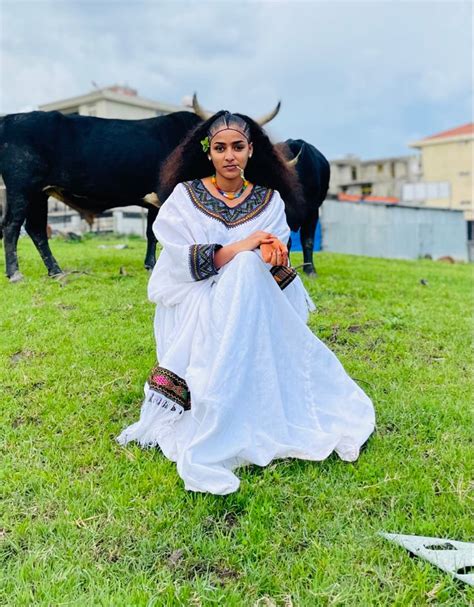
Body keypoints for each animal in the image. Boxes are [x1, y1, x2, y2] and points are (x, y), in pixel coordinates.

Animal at [0, 110, 200, 282]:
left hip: (39, 194)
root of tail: (10, 118)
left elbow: (152, 233)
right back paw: (15, 274)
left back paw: (55, 271)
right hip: (22, 187)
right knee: (11, 226)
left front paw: (151, 265)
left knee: (36, 229)